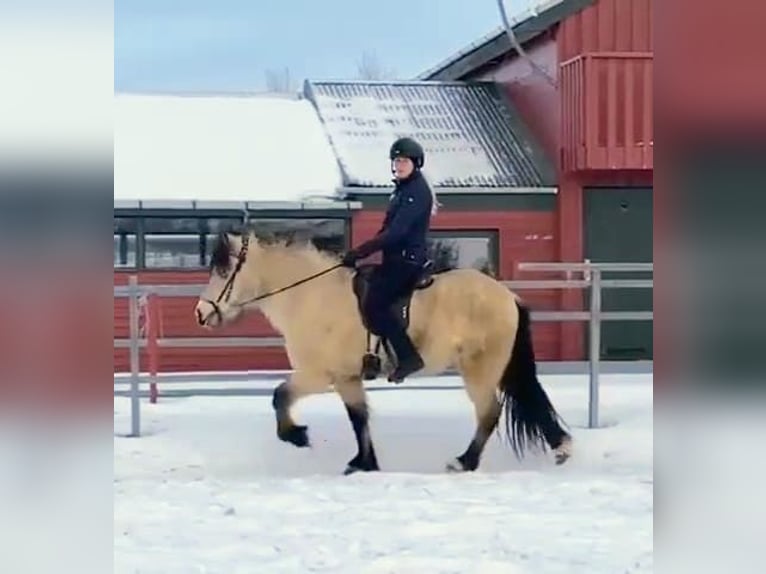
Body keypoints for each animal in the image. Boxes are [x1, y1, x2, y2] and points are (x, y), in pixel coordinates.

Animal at [193, 227, 572, 475]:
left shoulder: (318, 374)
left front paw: (297, 435)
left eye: (223, 270)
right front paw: (364, 463)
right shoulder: (347, 378)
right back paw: (560, 447)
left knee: (489, 413)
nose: (200, 313)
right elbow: (358, 418)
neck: (311, 297)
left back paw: (464, 462)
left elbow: (279, 396)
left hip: (480, 368)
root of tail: (508, 296)